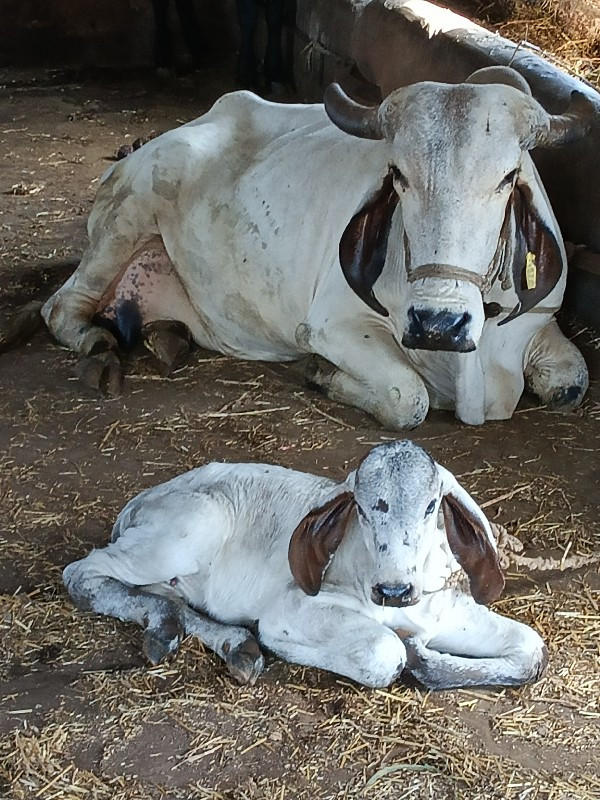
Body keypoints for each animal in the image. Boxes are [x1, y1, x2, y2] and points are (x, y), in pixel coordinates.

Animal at [39, 68, 592, 428]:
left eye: (508, 177)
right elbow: (408, 398)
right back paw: (96, 343)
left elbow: (573, 381)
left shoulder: (541, 322)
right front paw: (323, 374)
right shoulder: (332, 325)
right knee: (59, 306)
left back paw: (167, 340)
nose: (438, 323)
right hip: (127, 218)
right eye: (397, 174)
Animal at [64, 440, 548, 692]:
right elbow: (385, 651)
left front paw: (424, 655)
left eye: (431, 506)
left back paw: (229, 644)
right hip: (185, 533)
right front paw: (409, 650)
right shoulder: (289, 610)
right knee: (83, 574)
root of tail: (142, 498)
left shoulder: (448, 611)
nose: (394, 591)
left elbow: (531, 651)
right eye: (362, 509)